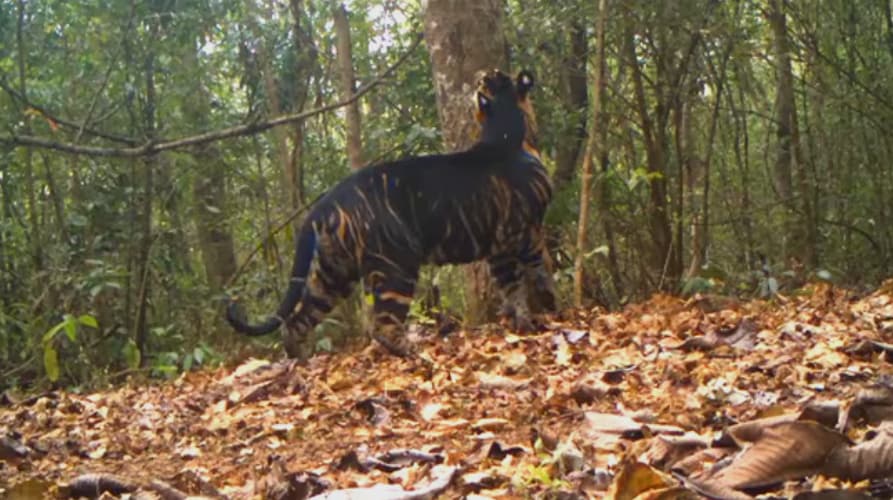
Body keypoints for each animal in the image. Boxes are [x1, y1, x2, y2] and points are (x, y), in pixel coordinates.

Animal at [226, 69, 556, 358]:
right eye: (495, 76)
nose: (481, 75)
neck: (506, 131)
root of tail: (323, 204)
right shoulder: (527, 232)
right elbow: (540, 272)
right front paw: (552, 313)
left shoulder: (498, 248)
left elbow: (511, 288)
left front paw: (521, 323)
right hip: (397, 265)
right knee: (382, 327)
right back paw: (418, 355)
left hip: (332, 273)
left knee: (296, 322)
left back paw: (302, 361)